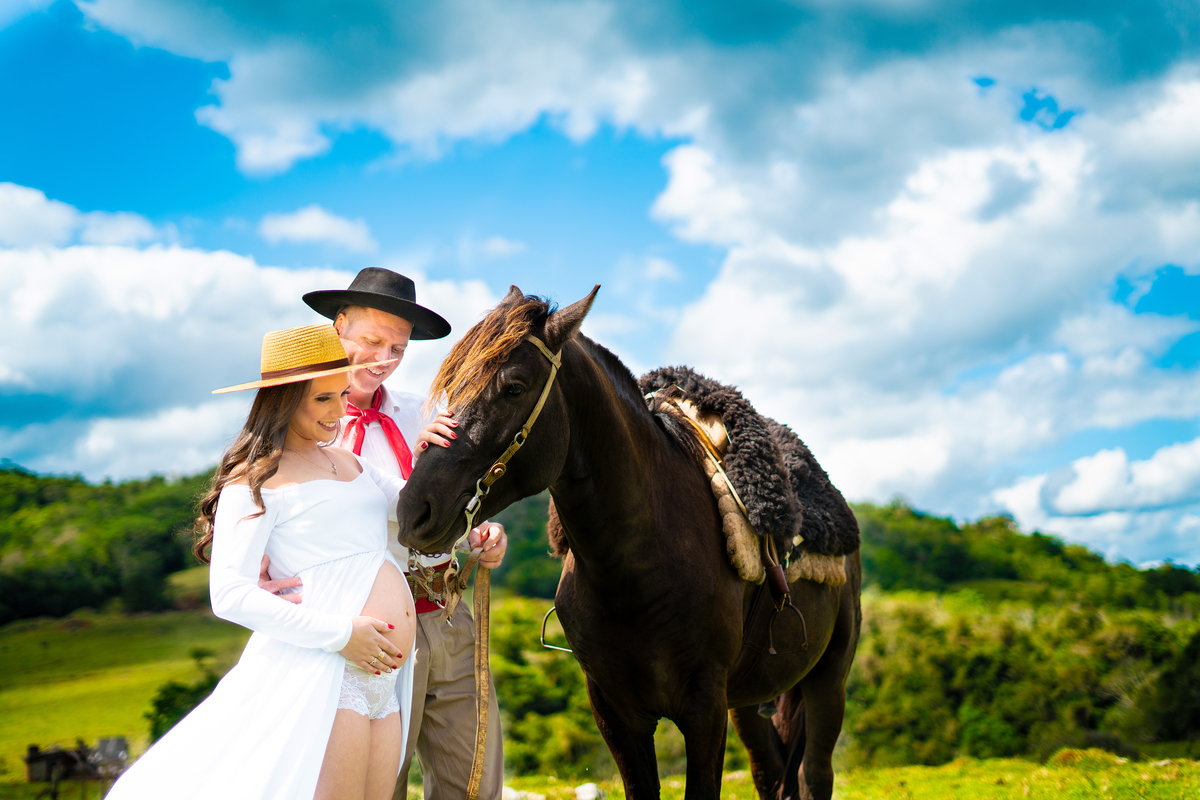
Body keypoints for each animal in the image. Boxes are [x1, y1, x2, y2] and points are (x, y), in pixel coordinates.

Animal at [397, 286, 862, 800]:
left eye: (514, 387)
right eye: (452, 385)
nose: (414, 509)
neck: (638, 569)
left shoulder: (704, 708)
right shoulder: (615, 712)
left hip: (827, 681)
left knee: (814, 774)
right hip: (749, 703)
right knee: (771, 774)